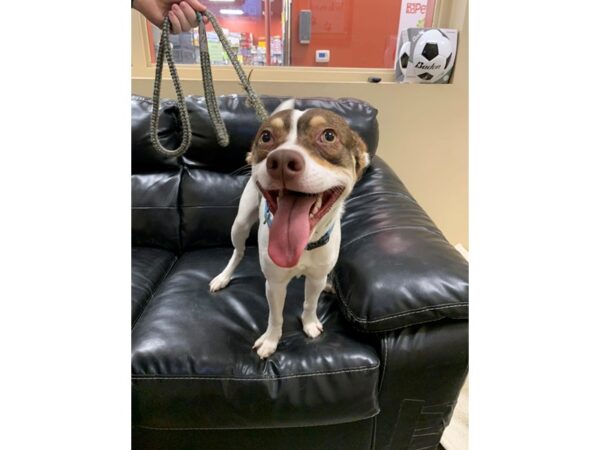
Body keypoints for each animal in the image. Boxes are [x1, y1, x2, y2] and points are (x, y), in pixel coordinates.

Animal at [210, 99, 370, 358]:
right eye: (266, 136)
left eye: (329, 135)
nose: (283, 161)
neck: (304, 244)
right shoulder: (275, 284)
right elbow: (275, 316)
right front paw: (271, 340)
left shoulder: (314, 277)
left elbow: (310, 303)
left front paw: (310, 323)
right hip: (240, 224)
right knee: (238, 252)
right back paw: (224, 276)